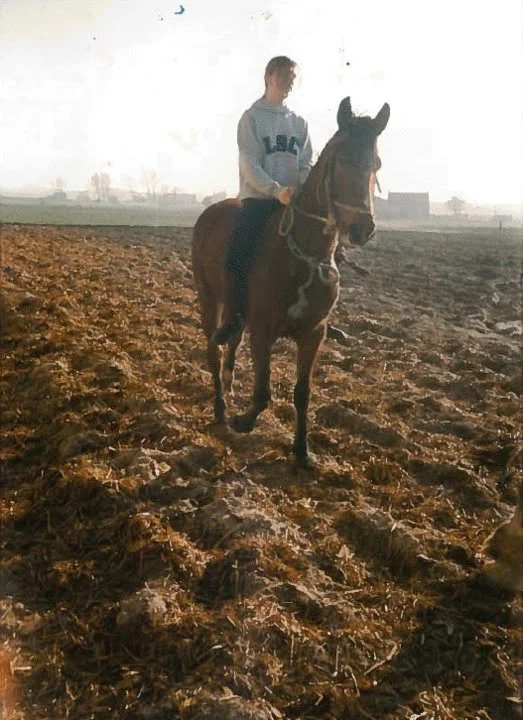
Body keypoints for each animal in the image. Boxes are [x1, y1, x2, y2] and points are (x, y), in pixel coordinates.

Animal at [191, 97, 390, 469]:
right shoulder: (263, 329)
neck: (304, 255)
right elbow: (263, 390)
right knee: (214, 350)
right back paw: (221, 409)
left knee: (231, 345)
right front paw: (244, 420)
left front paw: (302, 452)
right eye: (342, 160)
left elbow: (302, 393)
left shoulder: (313, 334)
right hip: (208, 299)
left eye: (376, 164)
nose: (362, 229)